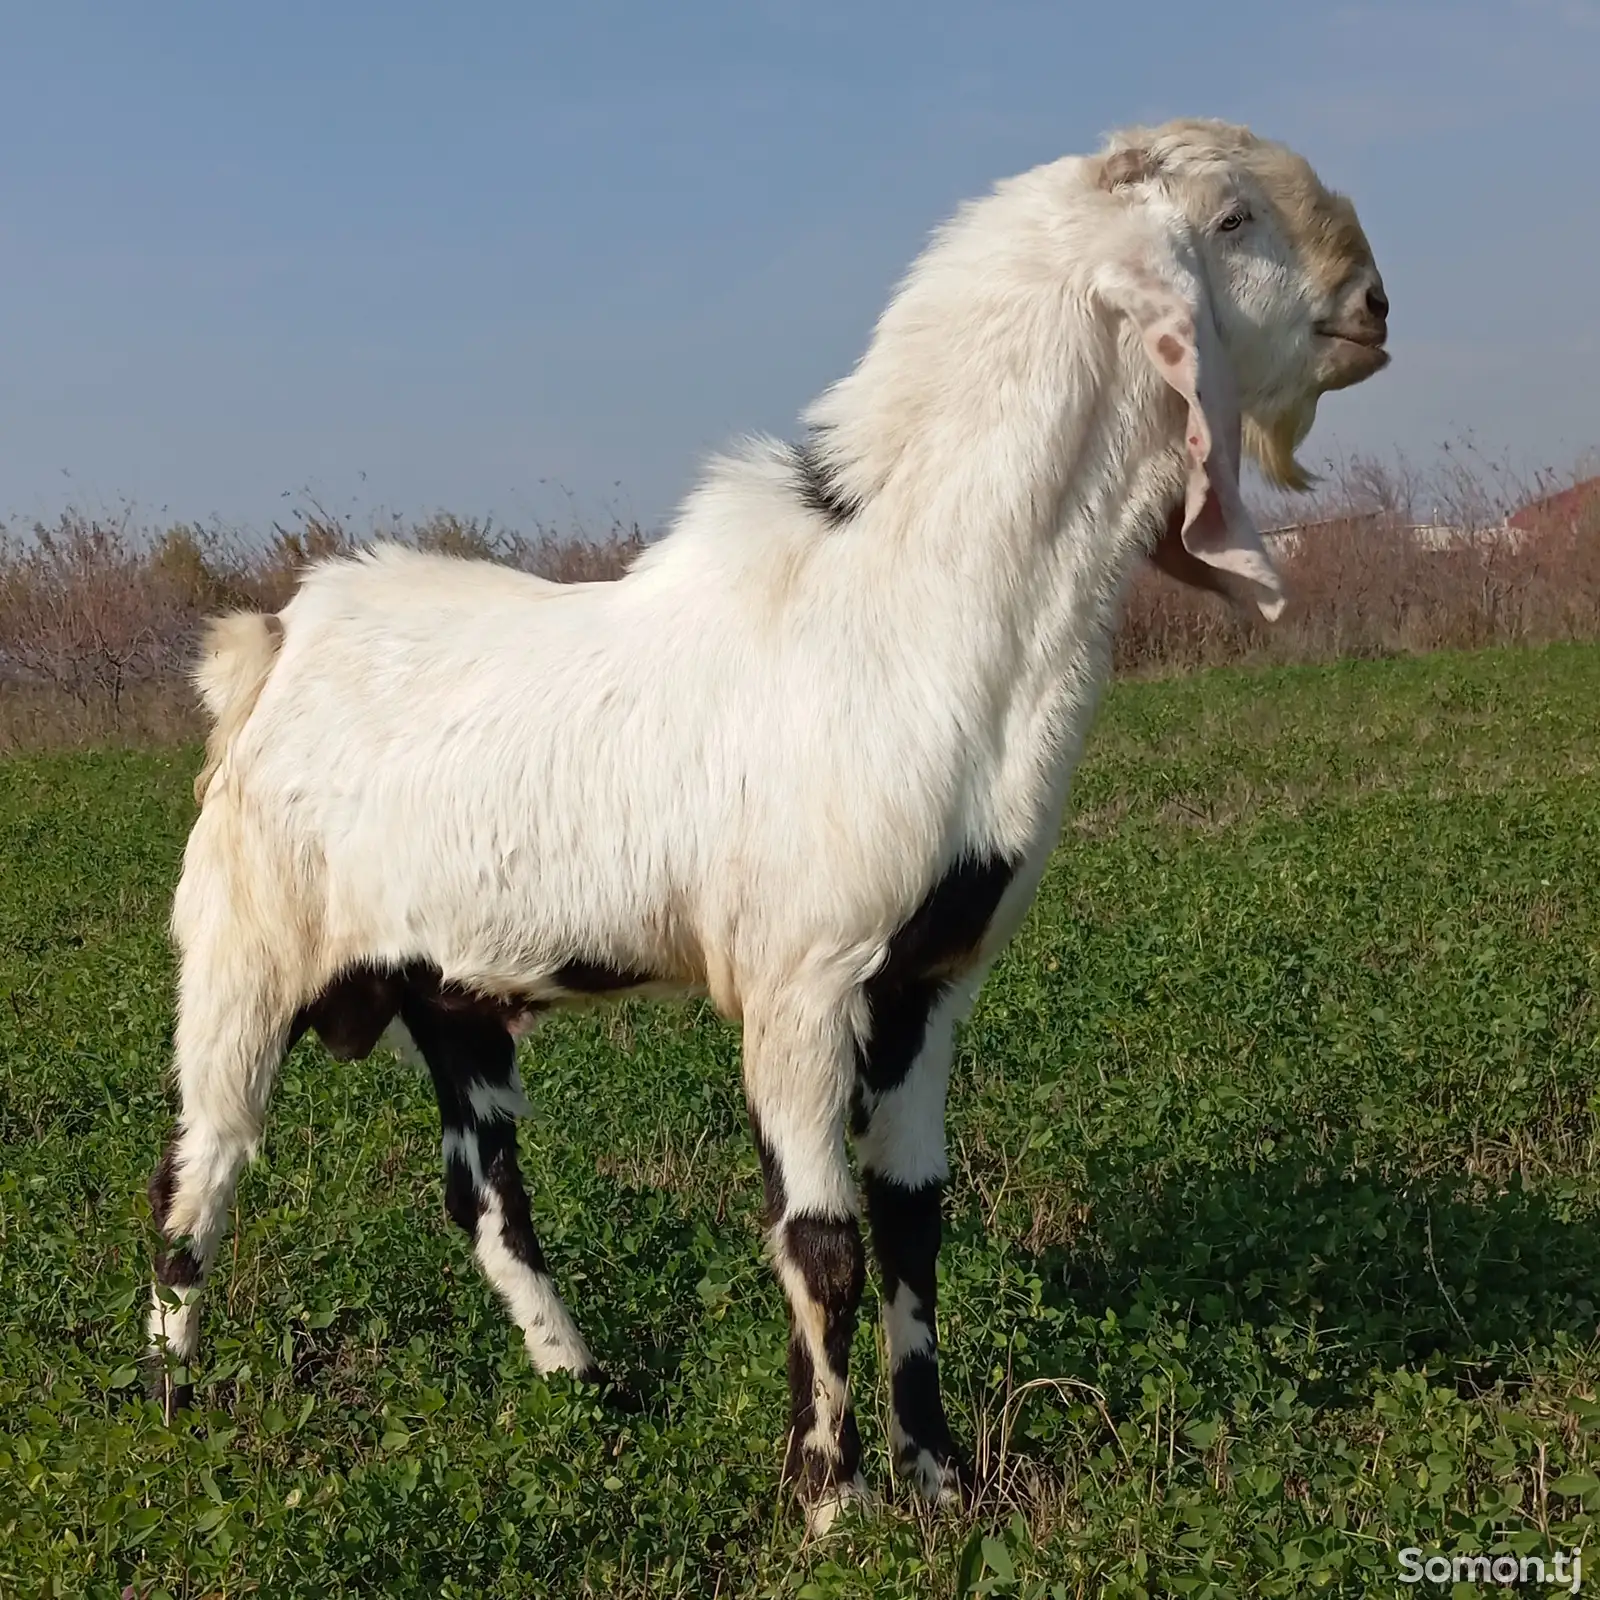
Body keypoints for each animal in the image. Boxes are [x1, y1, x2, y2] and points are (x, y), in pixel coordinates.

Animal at [147, 116, 1388, 1523]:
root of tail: (274, 640)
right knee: (200, 1167)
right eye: (1232, 219)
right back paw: (169, 1399)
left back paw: (584, 1386)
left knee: (485, 1194)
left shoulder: (929, 977)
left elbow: (913, 1221)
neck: (908, 597)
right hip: (243, 953)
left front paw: (939, 1478)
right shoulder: (804, 975)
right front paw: (829, 1502)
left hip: (446, 986)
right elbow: (821, 1240)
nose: (1372, 306)